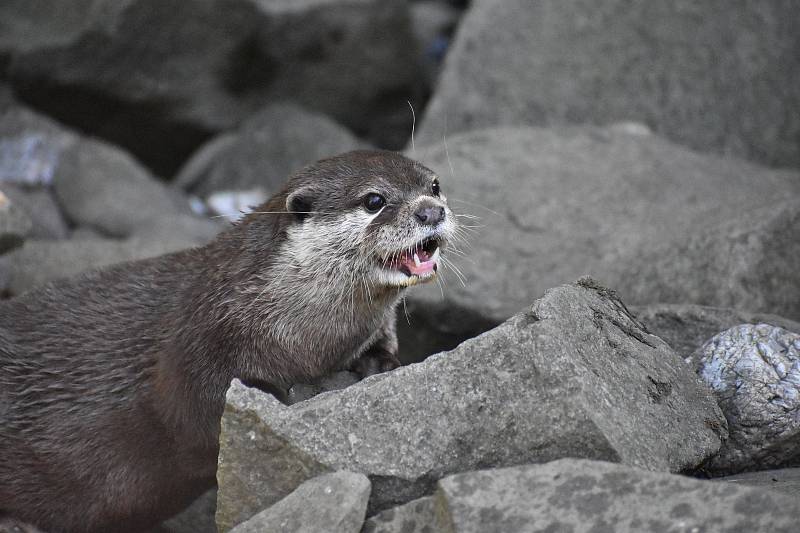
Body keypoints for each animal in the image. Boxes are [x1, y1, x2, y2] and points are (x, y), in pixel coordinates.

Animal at [0, 151, 456, 532]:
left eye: (434, 185)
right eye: (374, 200)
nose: (431, 210)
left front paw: (379, 362)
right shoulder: (193, 345)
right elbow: (194, 412)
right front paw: (274, 393)